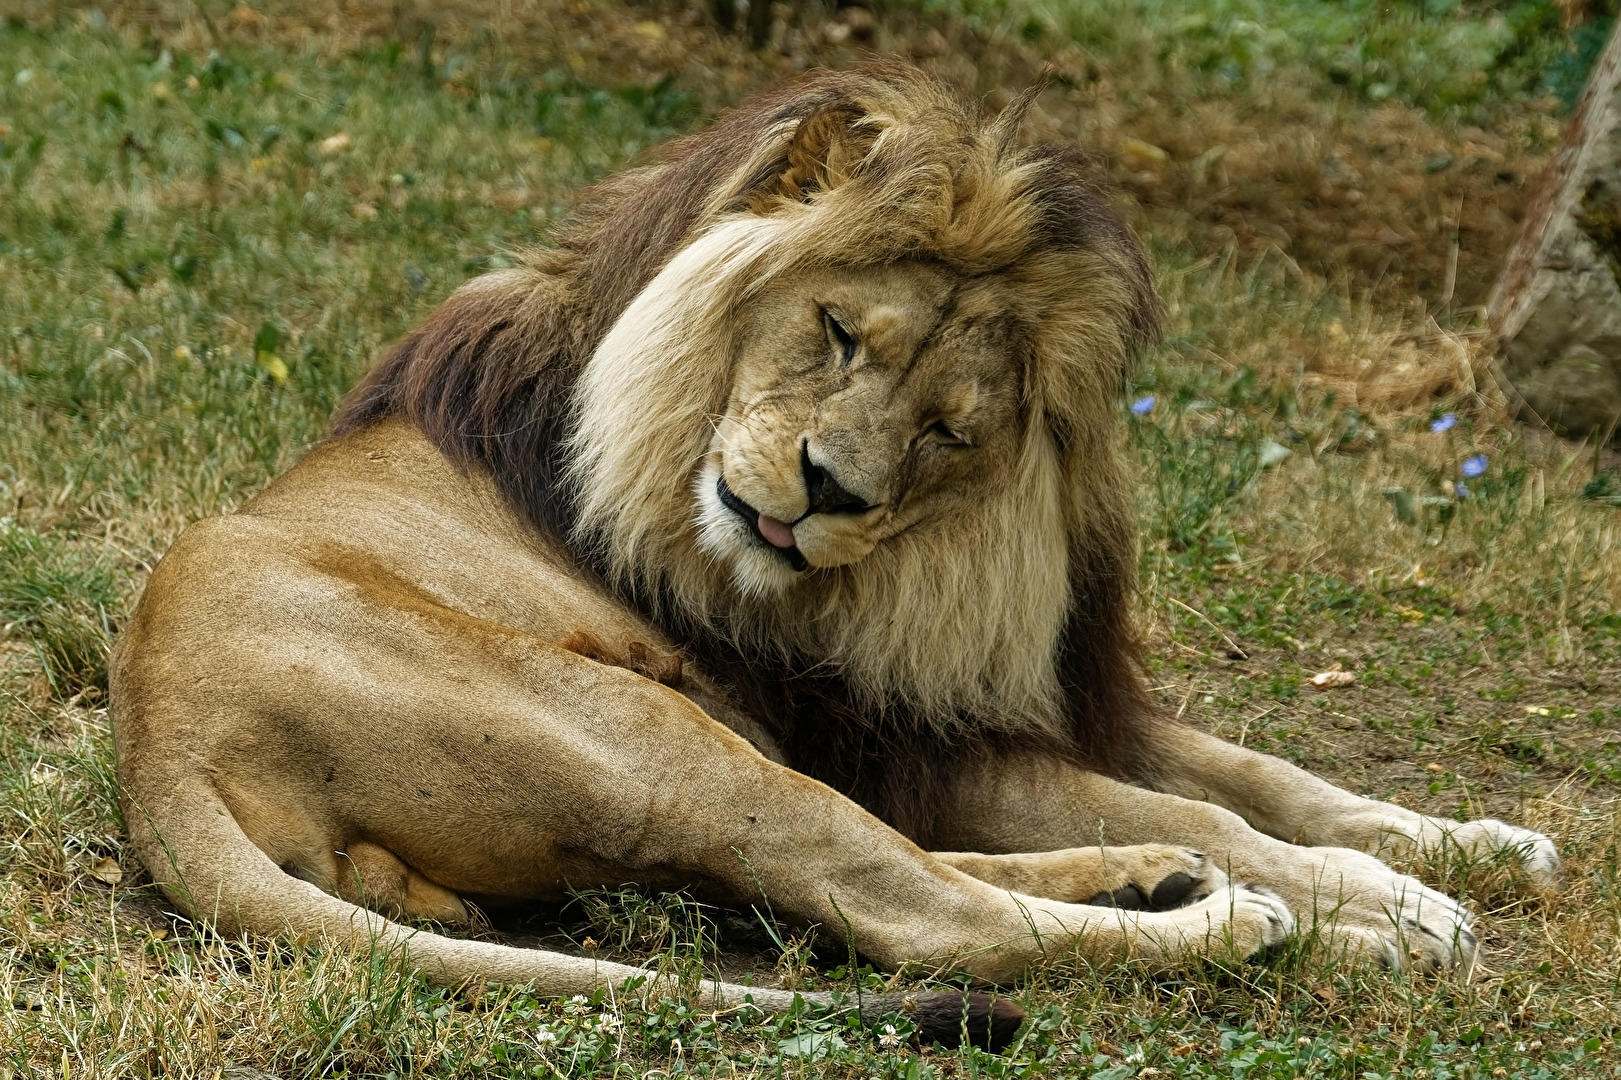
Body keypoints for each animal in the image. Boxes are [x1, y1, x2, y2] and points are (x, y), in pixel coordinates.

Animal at [111, 63, 1558, 1050]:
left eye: (949, 429)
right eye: (839, 333)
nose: (826, 493)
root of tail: (158, 747)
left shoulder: (990, 699)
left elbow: (1262, 773)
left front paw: (1471, 841)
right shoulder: (883, 726)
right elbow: (1215, 803)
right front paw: (1401, 906)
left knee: (904, 879)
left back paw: (1161, 883)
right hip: (650, 736)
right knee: (920, 915)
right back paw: (1266, 928)